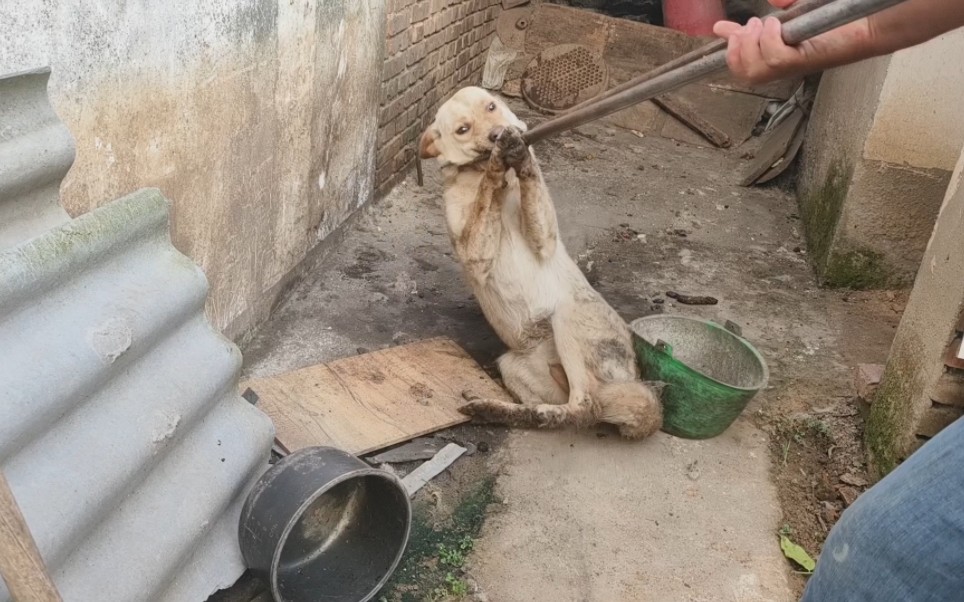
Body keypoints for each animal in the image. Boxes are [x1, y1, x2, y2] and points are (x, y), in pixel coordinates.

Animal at [420, 86, 664, 436]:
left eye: (491, 107)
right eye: (463, 129)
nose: (498, 134)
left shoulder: (544, 238)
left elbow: (530, 179)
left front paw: (518, 152)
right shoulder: (473, 255)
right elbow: (485, 197)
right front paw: (497, 163)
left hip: (568, 316)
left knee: (585, 407)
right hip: (515, 364)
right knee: (575, 410)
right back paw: (499, 410)